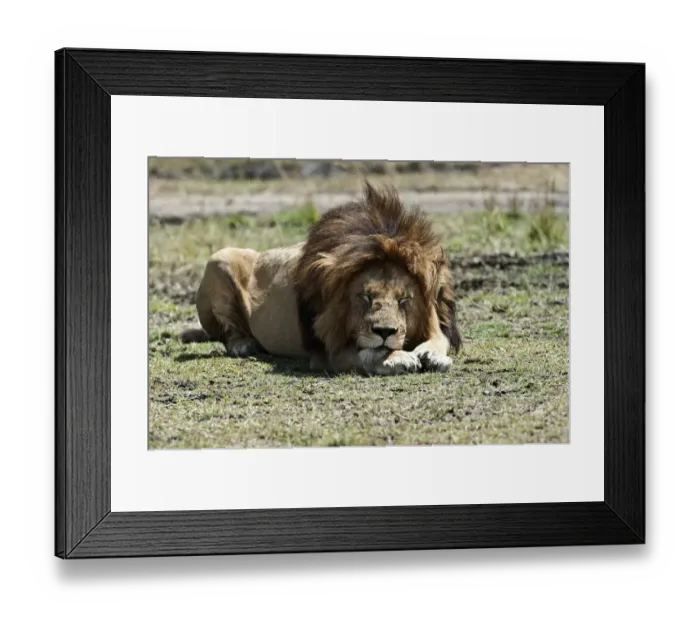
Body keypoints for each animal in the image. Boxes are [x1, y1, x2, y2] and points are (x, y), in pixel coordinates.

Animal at [181, 183, 462, 375]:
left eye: (404, 300)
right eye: (365, 296)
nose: (385, 332)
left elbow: (440, 338)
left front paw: (433, 355)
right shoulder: (327, 350)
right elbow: (366, 354)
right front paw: (397, 358)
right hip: (220, 258)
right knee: (227, 331)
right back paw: (243, 344)